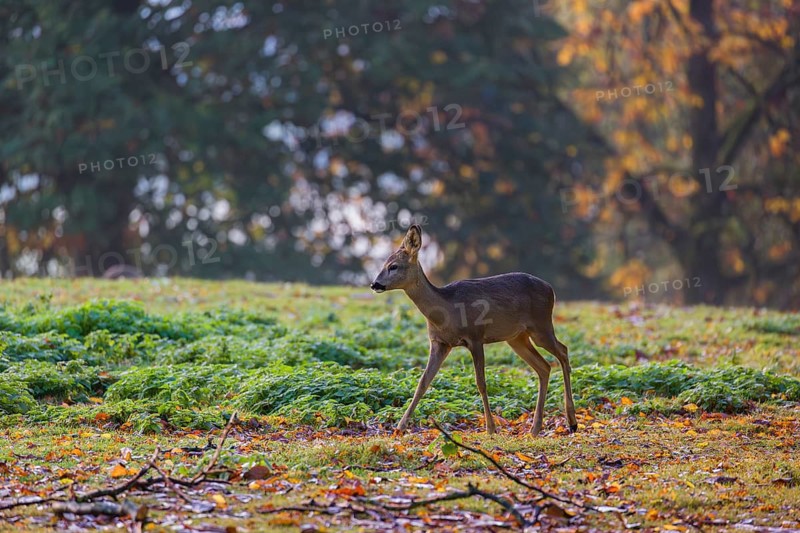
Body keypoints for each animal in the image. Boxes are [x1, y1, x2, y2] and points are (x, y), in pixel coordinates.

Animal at [370, 224, 577, 436]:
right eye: (384, 263)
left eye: (394, 266)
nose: (374, 284)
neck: (447, 310)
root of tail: (551, 289)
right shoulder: (439, 343)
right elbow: (423, 382)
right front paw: (400, 427)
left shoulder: (476, 336)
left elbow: (481, 382)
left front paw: (491, 428)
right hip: (517, 337)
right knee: (544, 367)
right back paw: (535, 429)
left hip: (541, 325)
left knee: (563, 351)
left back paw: (571, 421)